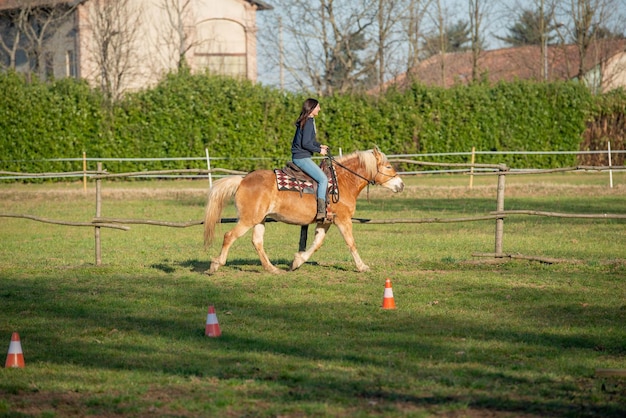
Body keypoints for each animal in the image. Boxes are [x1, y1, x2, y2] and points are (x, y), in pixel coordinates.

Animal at [202, 148, 402, 274]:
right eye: (388, 166)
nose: (401, 184)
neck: (342, 182)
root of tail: (243, 180)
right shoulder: (343, 220)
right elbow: (351, 243)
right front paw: (362, 267)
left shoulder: (325, 221)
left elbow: (317, 243)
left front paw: (297, 261)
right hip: (248, 219)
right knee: (229, 236)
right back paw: (215, 265)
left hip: (259, 219)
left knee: (257, 242)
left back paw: (272, 269)